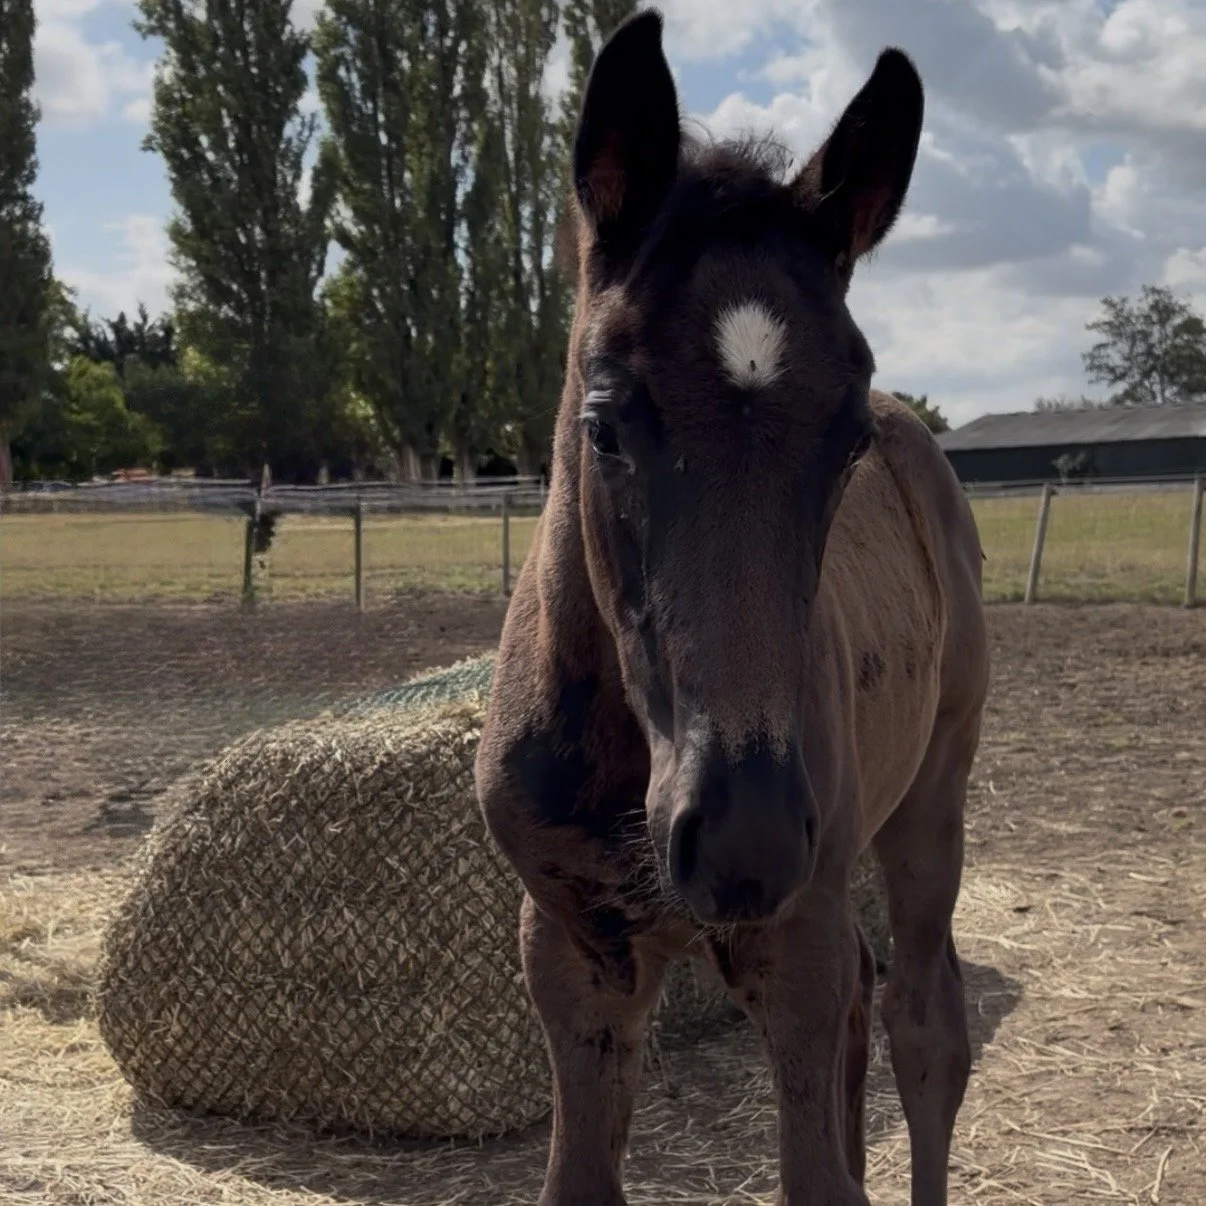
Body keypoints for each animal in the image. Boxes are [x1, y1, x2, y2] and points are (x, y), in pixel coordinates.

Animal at [475, 11, 989, 1205]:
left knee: (924, 1023)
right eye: (605, 423)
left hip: (930, 793)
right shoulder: (572, 952)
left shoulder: (790, 938)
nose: (740, 837)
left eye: (847, 439)